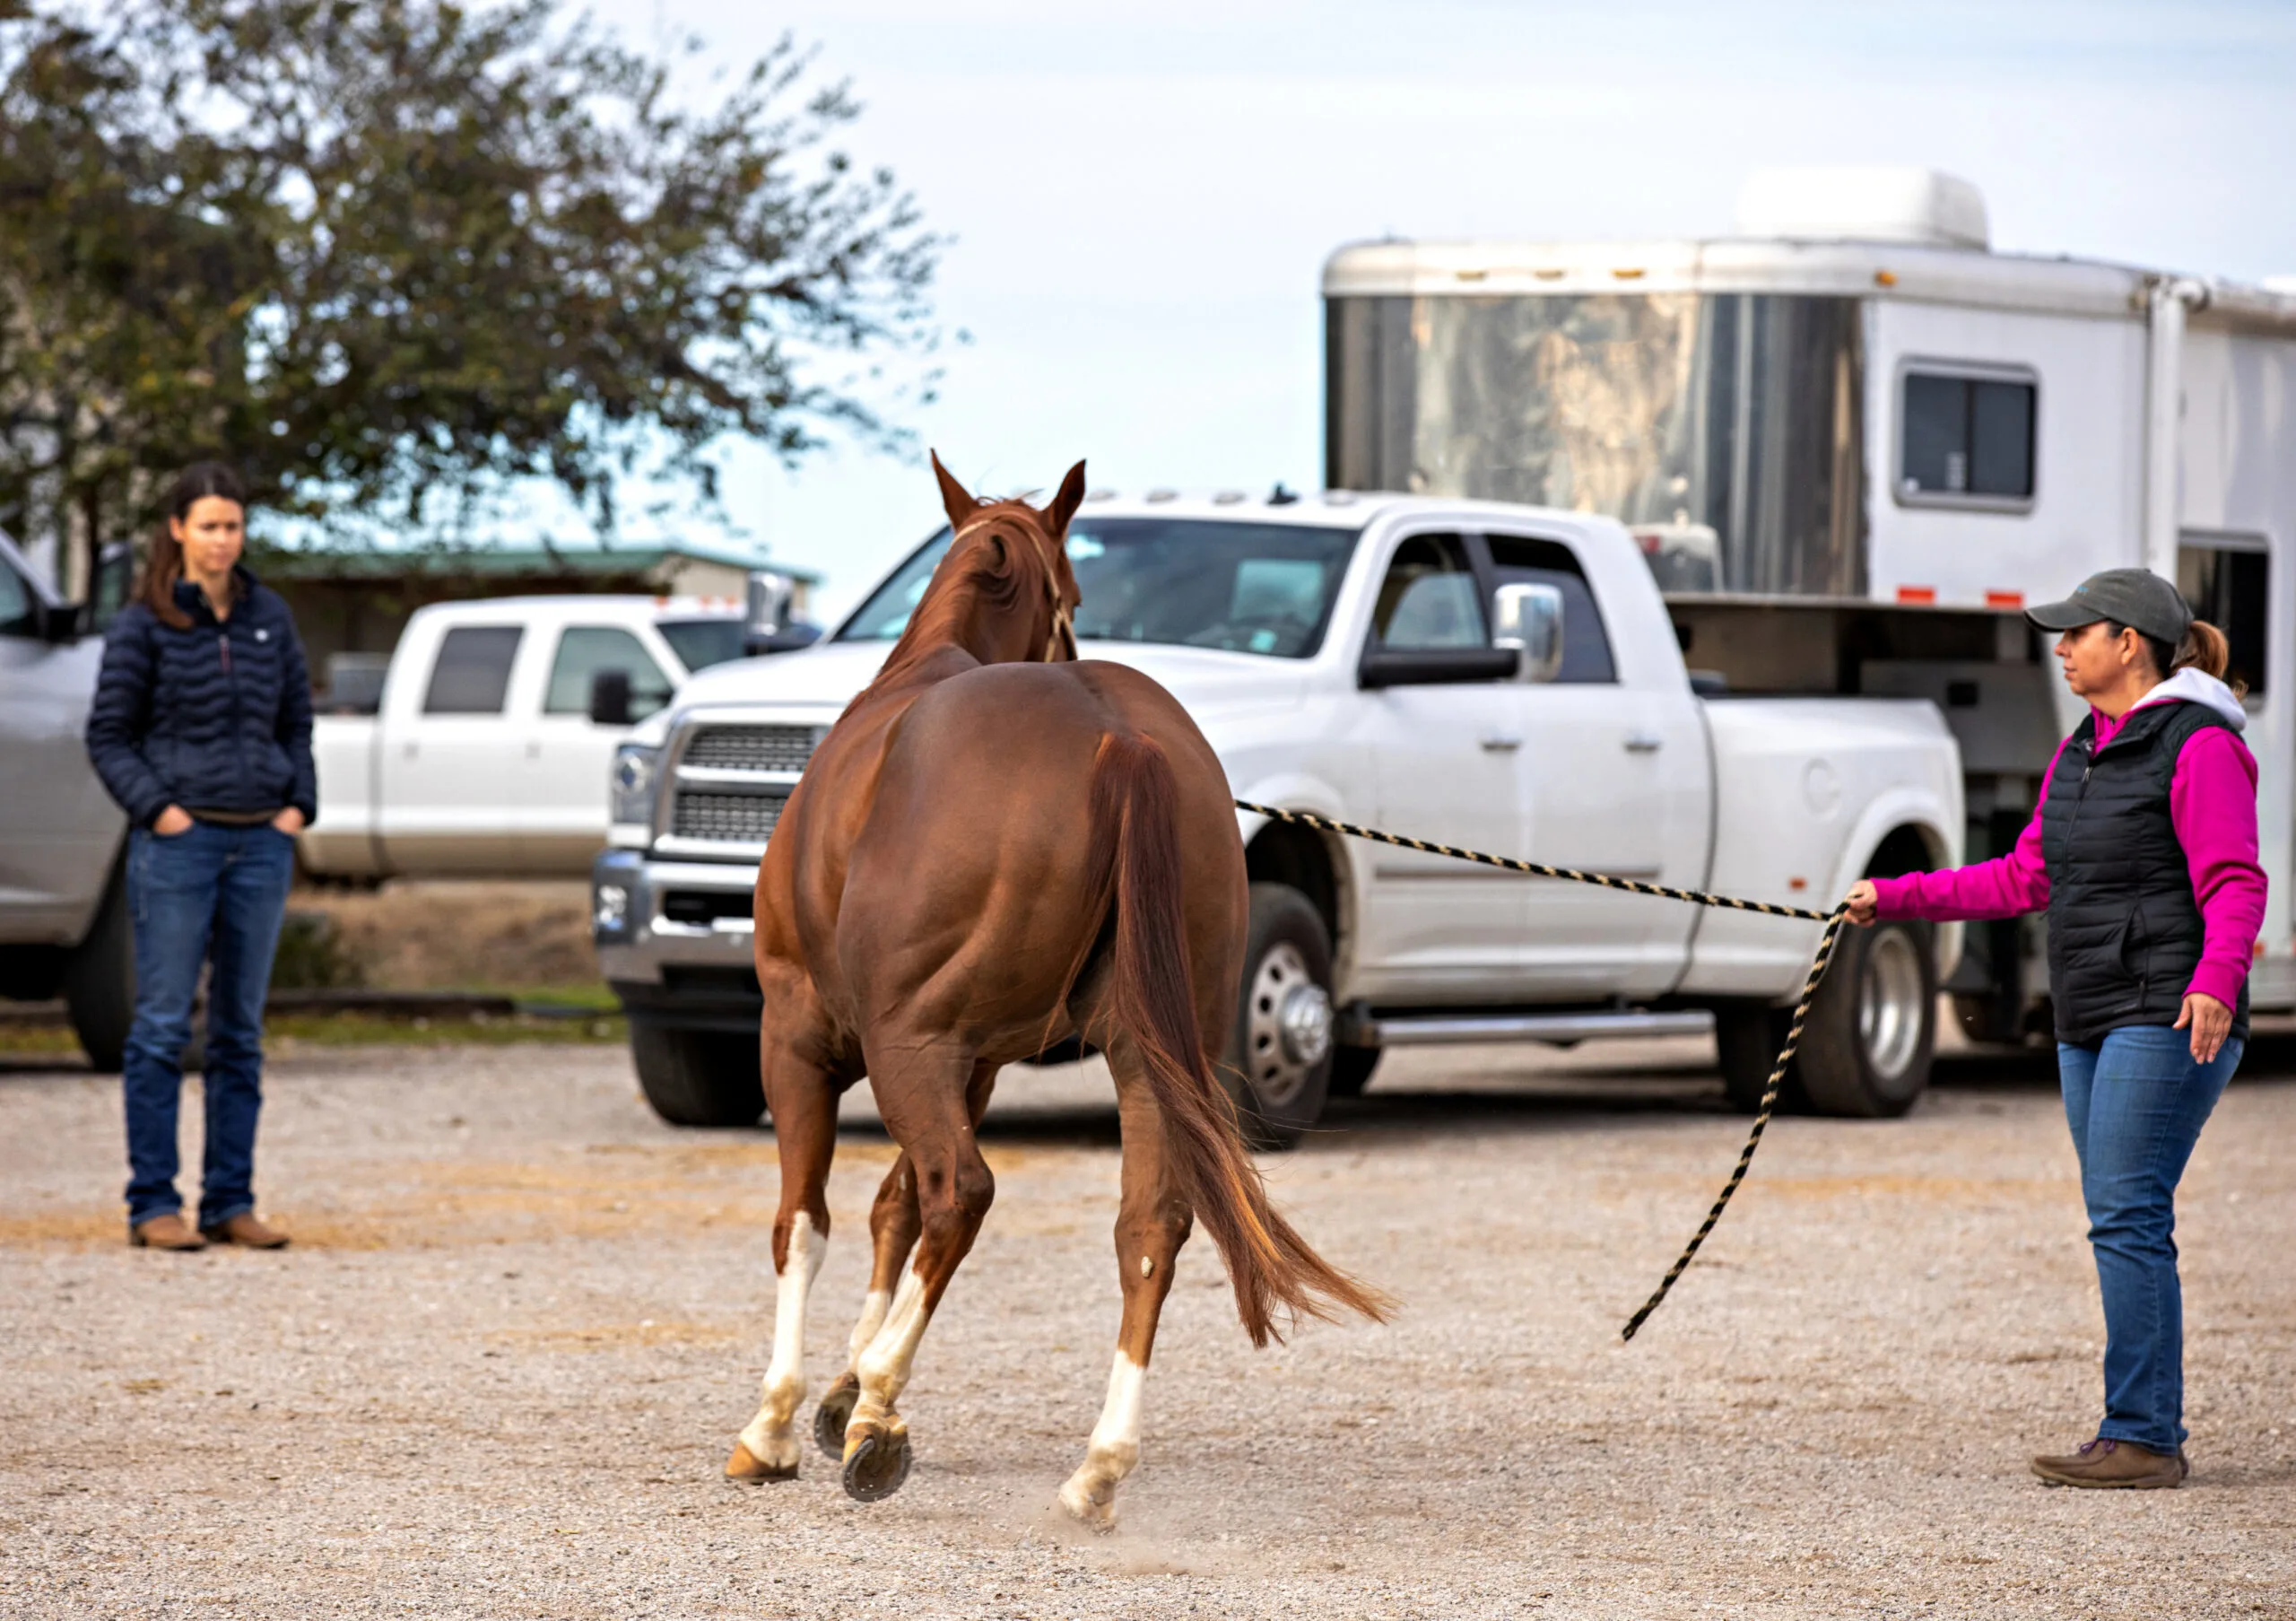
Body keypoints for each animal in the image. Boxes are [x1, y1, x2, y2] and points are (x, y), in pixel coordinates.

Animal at [725, 452, 1387, 1515]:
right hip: (1148, 1057)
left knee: (964, 1193)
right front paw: (841, 1388)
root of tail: (1119, 738)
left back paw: (882, 1409)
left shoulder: (803, 1036)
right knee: (1148, 1226)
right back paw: (1095, 1466)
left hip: (910, 1049)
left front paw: (786, 1416)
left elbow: (809, 1220)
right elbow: (892, 1206)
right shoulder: (977, 1064)